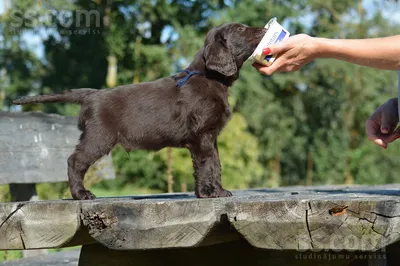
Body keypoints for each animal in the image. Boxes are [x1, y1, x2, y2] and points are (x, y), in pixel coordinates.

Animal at [14, 23, 268, 200]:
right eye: (240, 29)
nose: (265, 28)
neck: (209, 77)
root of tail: (92, 94)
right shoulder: (202, 135)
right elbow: (207, 165)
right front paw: (208, 192)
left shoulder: (210, 137)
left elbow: (215, 165)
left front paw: (217, 191)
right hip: (99, 137)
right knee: (74, 161)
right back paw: (81, 194)